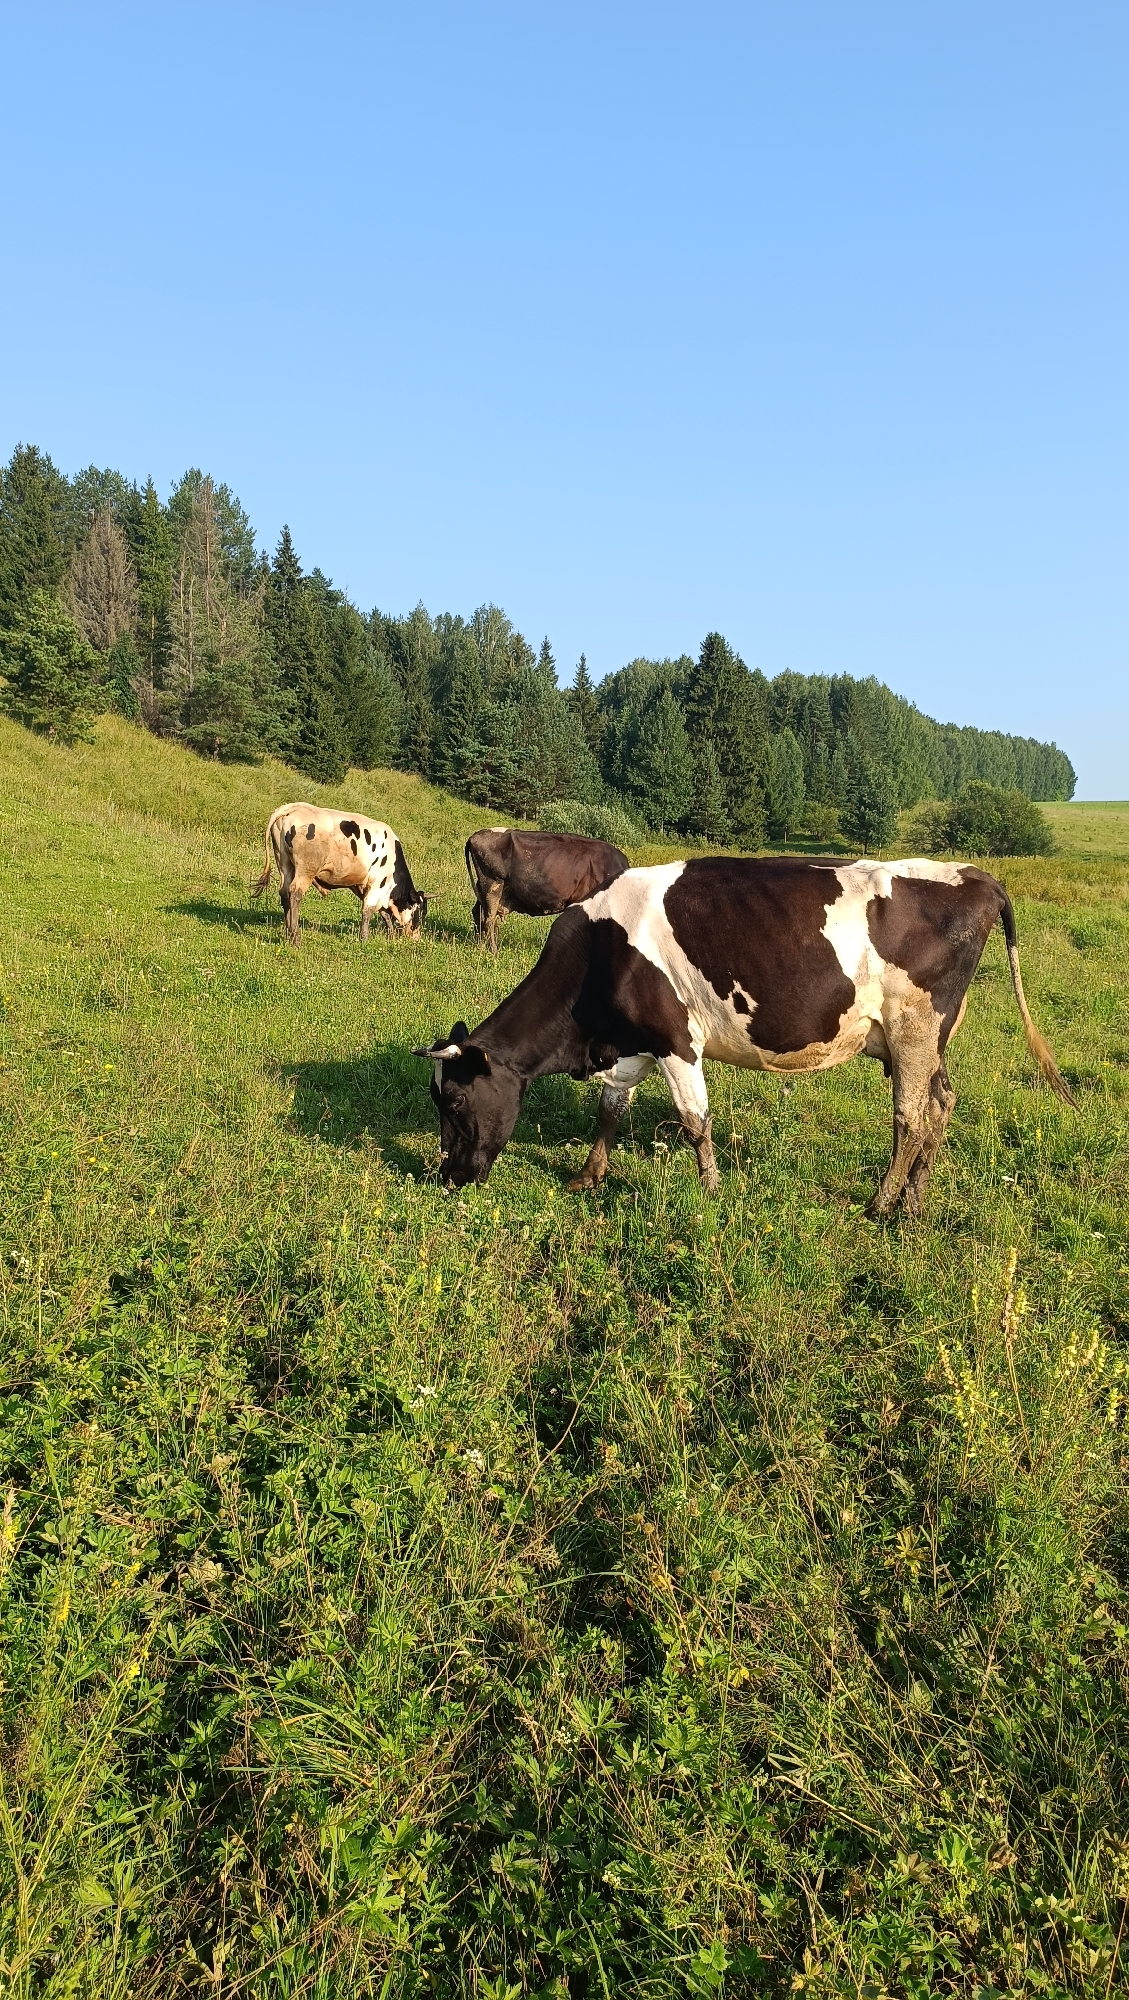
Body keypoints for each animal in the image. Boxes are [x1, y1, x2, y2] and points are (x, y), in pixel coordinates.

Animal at [252, 803, 428, 946]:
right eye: (420, 912)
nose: (416, 938)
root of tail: (293, 807)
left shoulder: (366, 886)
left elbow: (383, 913)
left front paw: (390, 936)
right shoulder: (378, 884)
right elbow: (368, 911)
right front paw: (364, 939)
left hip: (284, 864)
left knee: (284, 893)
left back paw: (289, 934)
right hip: (305, 870)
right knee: (295, 893)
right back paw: (296, 938)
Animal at [414, 856, 1075, 1215]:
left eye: (455, 1100)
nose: (448, 1177)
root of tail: (977, 877)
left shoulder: (676, 1039)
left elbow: (694, 1120)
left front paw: (708, 1190)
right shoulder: (635, 1044)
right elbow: (610, 1109)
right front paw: (586, 1176)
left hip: (914, 1029)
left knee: (911, 1119)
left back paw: (881, 1203)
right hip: (930, 1040)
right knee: (941, 1108)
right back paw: (912, 1202)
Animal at [464, 827, 629, 953]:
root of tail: (476, 835)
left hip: (484, 888)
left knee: (478, 913)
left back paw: (479, 945)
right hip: (493, 884)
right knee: (489, 919)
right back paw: (493, 951)